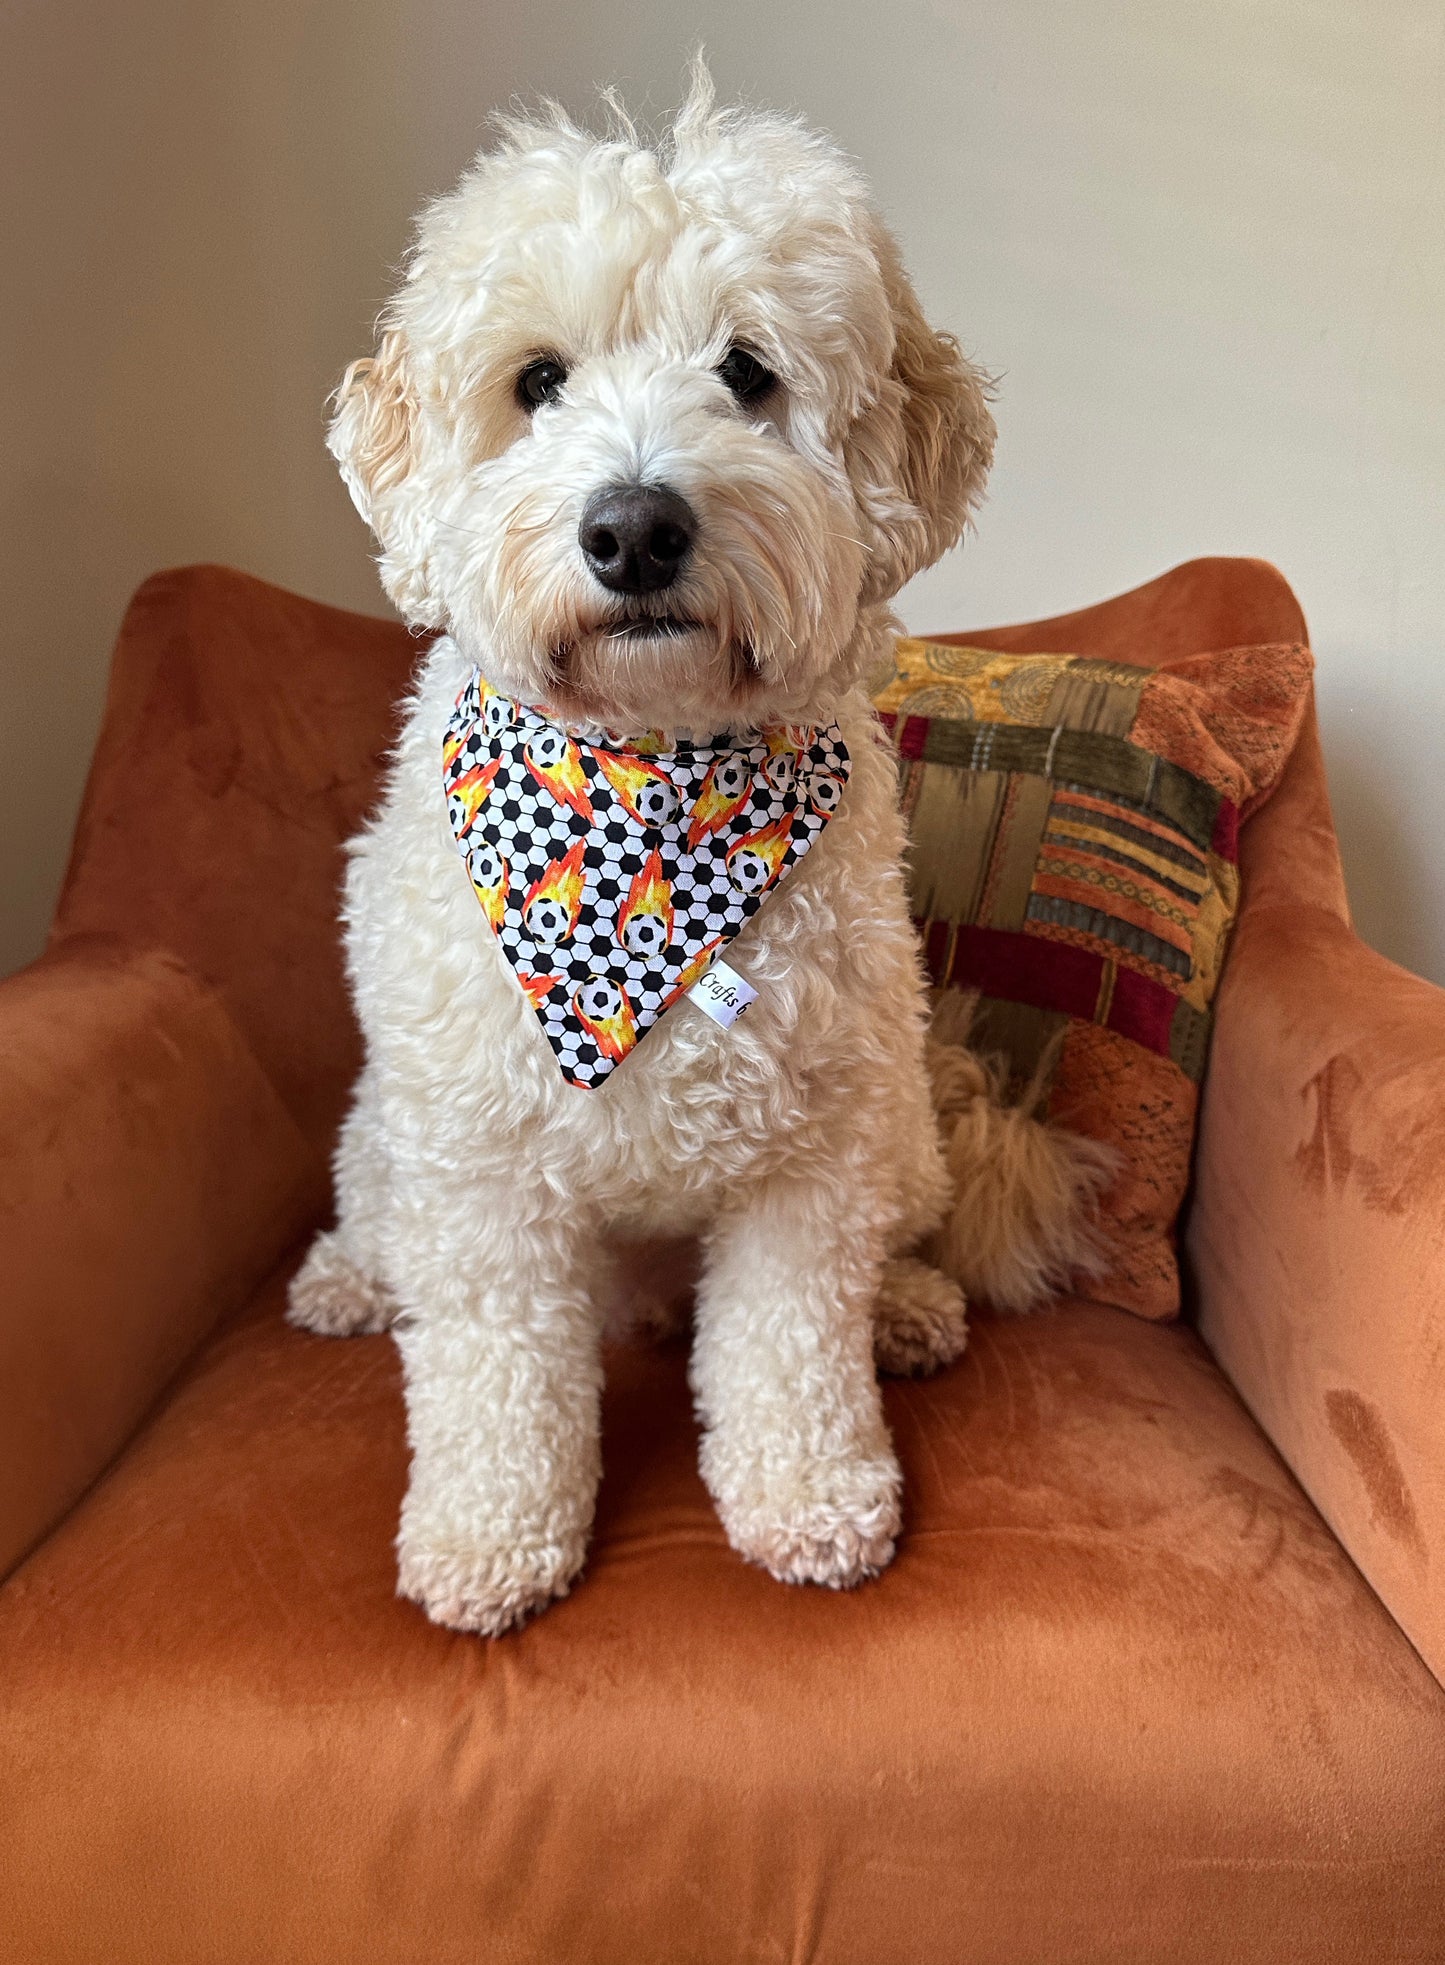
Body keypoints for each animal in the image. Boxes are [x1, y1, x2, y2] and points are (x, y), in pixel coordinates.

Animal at [287, 69, 998, 1634]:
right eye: (537, 381)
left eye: (748, 372)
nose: (633, 527)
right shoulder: (479, 1173)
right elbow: (493, 1376)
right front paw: (489, 1537)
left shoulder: (813, 1154)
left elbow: (791, 1348)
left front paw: (810, 1500)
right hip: (384, 1138)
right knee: (379, 1228)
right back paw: (349, 1282)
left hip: (904, 1128)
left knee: (895, 1236)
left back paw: (909, 1307)